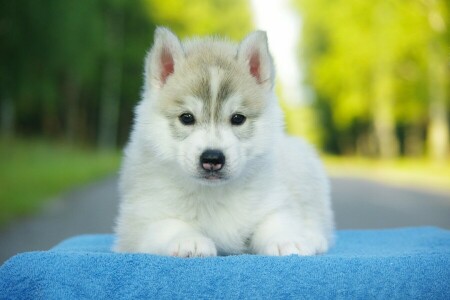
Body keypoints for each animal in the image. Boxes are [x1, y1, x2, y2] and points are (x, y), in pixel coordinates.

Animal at [114, 27, 334, 255]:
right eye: (186, 118)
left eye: (238, 118)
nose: (212, 158)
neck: (213, 193)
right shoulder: (139, 220)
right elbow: (169, 225)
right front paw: (189, 240)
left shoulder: (276, 200)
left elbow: (276, 221)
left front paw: (286, 241)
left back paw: (313, 237)